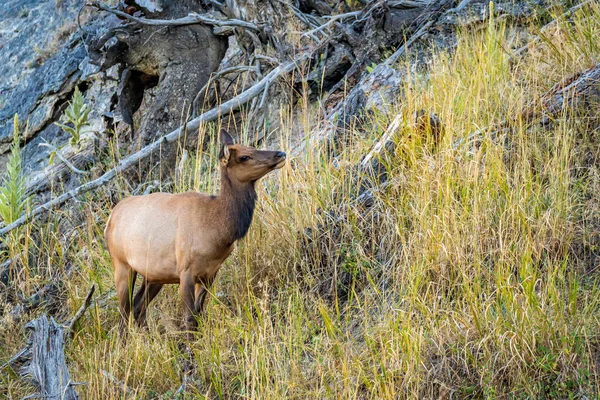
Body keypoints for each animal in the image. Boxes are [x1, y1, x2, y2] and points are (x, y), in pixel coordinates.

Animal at [104, 130, 288, 332]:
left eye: (251, 146)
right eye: (244, 156)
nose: (280, 154)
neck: (218, 230)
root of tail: (110, 219)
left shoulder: (210, 273)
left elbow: (199, 315)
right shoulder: (186, 271)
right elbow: (189, 319)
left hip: (154, 274)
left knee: (137, 307)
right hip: (122, 265)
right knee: (123, 313)